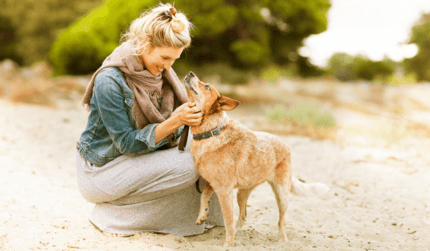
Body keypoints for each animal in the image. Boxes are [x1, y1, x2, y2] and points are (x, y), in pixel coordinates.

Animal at [182, 70, 330, 247]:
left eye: (207, 87)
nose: (191, 72)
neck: (211, 132)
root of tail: (286, 145)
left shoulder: (224, 190)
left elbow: (228, 220)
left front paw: (228, 245)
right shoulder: (213, 183)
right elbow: (204, 196)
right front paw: (202, 215)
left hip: (282, 195)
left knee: (281, 221)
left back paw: (283, 241)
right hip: (242, 192)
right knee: (244, 214)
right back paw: (240, 231)